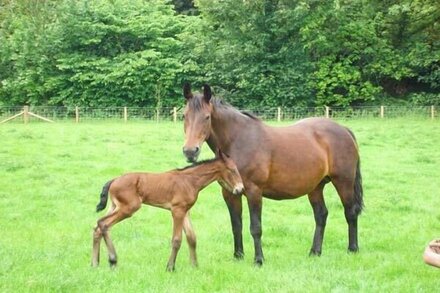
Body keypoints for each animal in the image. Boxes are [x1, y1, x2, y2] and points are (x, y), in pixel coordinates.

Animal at [91, 152, 244, 270]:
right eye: (232, 170)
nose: (240, 189)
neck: (190, 180)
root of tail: (114, 180)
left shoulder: (185, 211)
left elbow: (192, 238)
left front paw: (194, 266)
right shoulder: (177, 211)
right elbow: (177, 240)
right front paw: (170, 267)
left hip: (115, 206)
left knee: (97, 227)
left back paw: (95, 264)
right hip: (128, 208)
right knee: (104, 224)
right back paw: (112, 260)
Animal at [180, 82, 362, 264]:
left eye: (207, 117)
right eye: (184, 116)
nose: (190, 151)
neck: (238, 141)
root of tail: (344, 129)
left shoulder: (254, 191)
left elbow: (255, 227)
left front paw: (259, 260)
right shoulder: (230, 193)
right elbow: (236, 225)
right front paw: (238, 256)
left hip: (343, 182)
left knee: (350, 213)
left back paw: (352, 249)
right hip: (315, 187)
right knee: (321, 215)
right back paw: (315, 252)